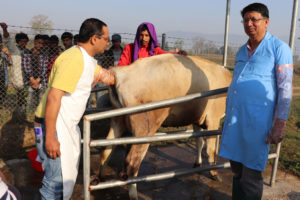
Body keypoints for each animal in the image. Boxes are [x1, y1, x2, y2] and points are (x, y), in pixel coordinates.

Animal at [94, 53, 232, 200]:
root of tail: (122, 72)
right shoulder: (213, 118)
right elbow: (210, 149)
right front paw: (214, 174)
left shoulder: (197, 120)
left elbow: (199, 142)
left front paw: (198, 163)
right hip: (145, 128)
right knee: (132, 162)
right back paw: (134, 195)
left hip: (117, 120)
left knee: (106, 150)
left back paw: (101, 179)